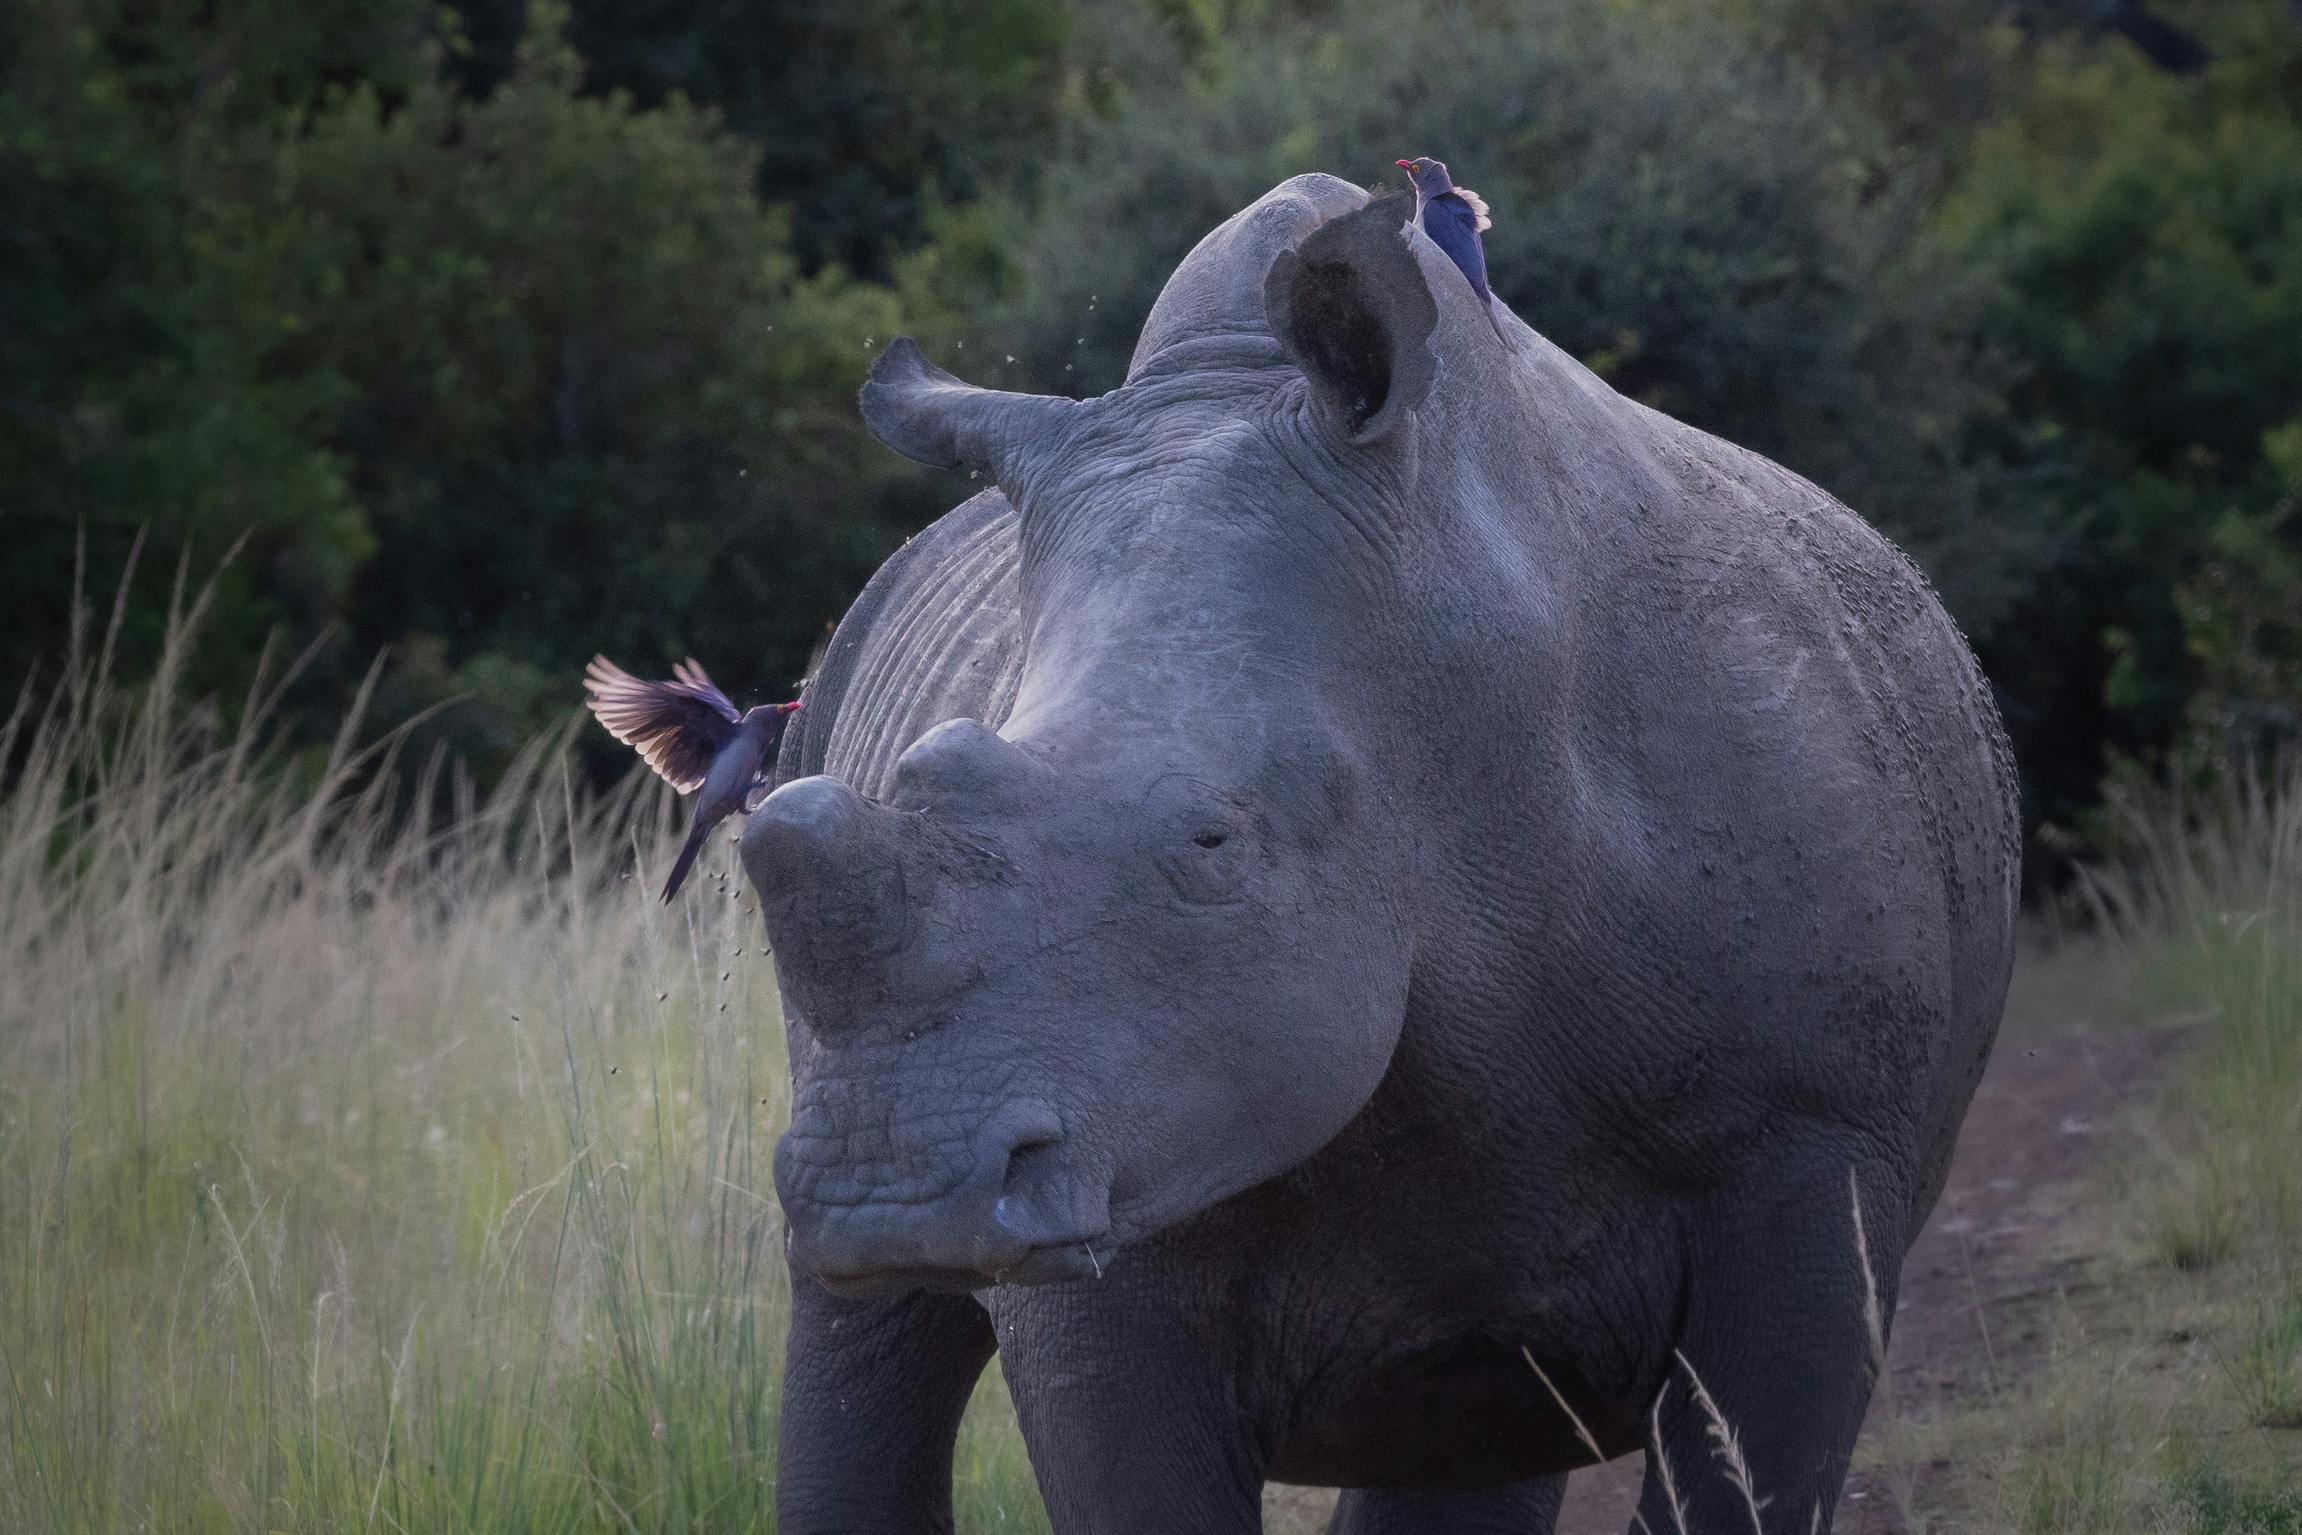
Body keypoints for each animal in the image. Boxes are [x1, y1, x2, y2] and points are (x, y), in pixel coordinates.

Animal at [742, 175, 2019, 1534]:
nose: (888, 1190)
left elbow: (1747, 1473)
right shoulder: (1122, 1150)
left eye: (1212, 841)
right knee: (863, 1334)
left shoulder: (1813, 1146)